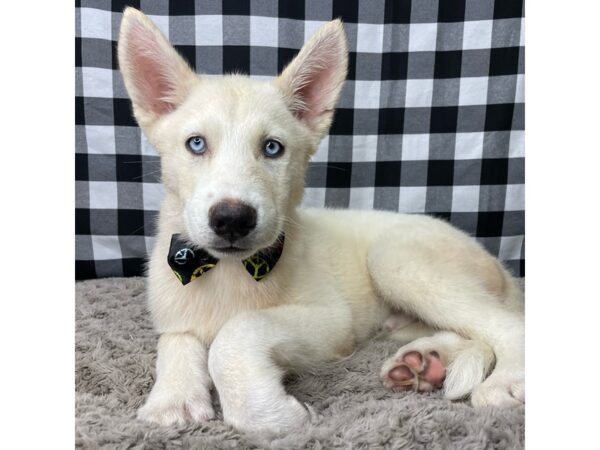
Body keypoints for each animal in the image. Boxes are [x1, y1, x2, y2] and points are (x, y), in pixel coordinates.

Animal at [118, 8, 524, 434]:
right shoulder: (174, 309)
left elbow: (239, 328)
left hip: (395, 259)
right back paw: (424, 362)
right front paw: (173, 399)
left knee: (508, 324)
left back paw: (503, 382)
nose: (232, 219)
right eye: (196, 144)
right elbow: (176, 340)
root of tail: (498, 265)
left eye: (272, 148)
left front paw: (273, 414)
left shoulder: (333, 321)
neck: (228, 272)